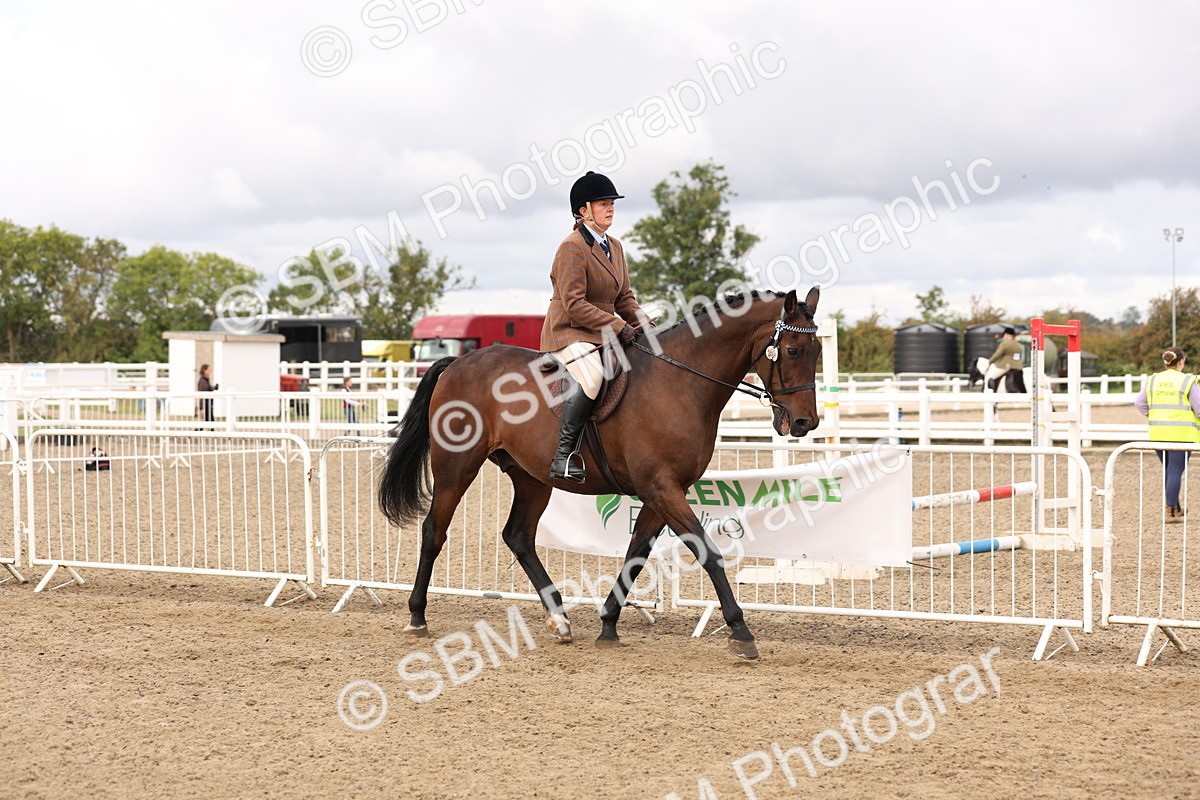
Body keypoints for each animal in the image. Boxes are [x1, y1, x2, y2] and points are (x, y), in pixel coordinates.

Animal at [378, 286, 824, 660]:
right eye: (793, 350)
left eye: (818, 350)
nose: (805, 423)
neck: (681, 382)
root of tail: (459, 362)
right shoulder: (661, 487)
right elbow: (706, 551)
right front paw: (741, 631)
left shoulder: (662, 490)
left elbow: (636, 553)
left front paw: (608, 623)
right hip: (457, 466)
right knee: (434, 531)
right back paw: (417, 616)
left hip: (532, 478)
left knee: (518, 536)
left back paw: (560, 620)